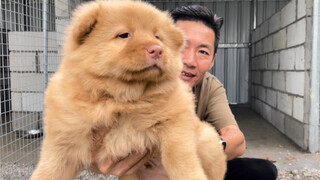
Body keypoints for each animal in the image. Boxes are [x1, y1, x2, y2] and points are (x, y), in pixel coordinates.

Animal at [30, 0, 225, 179]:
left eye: (158, 37)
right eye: (124, 35)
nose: (157, 50)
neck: (123, 99)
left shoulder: (177, 120)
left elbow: (179, 156)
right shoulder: (64, 142)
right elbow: (49, 170)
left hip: (209, 142)